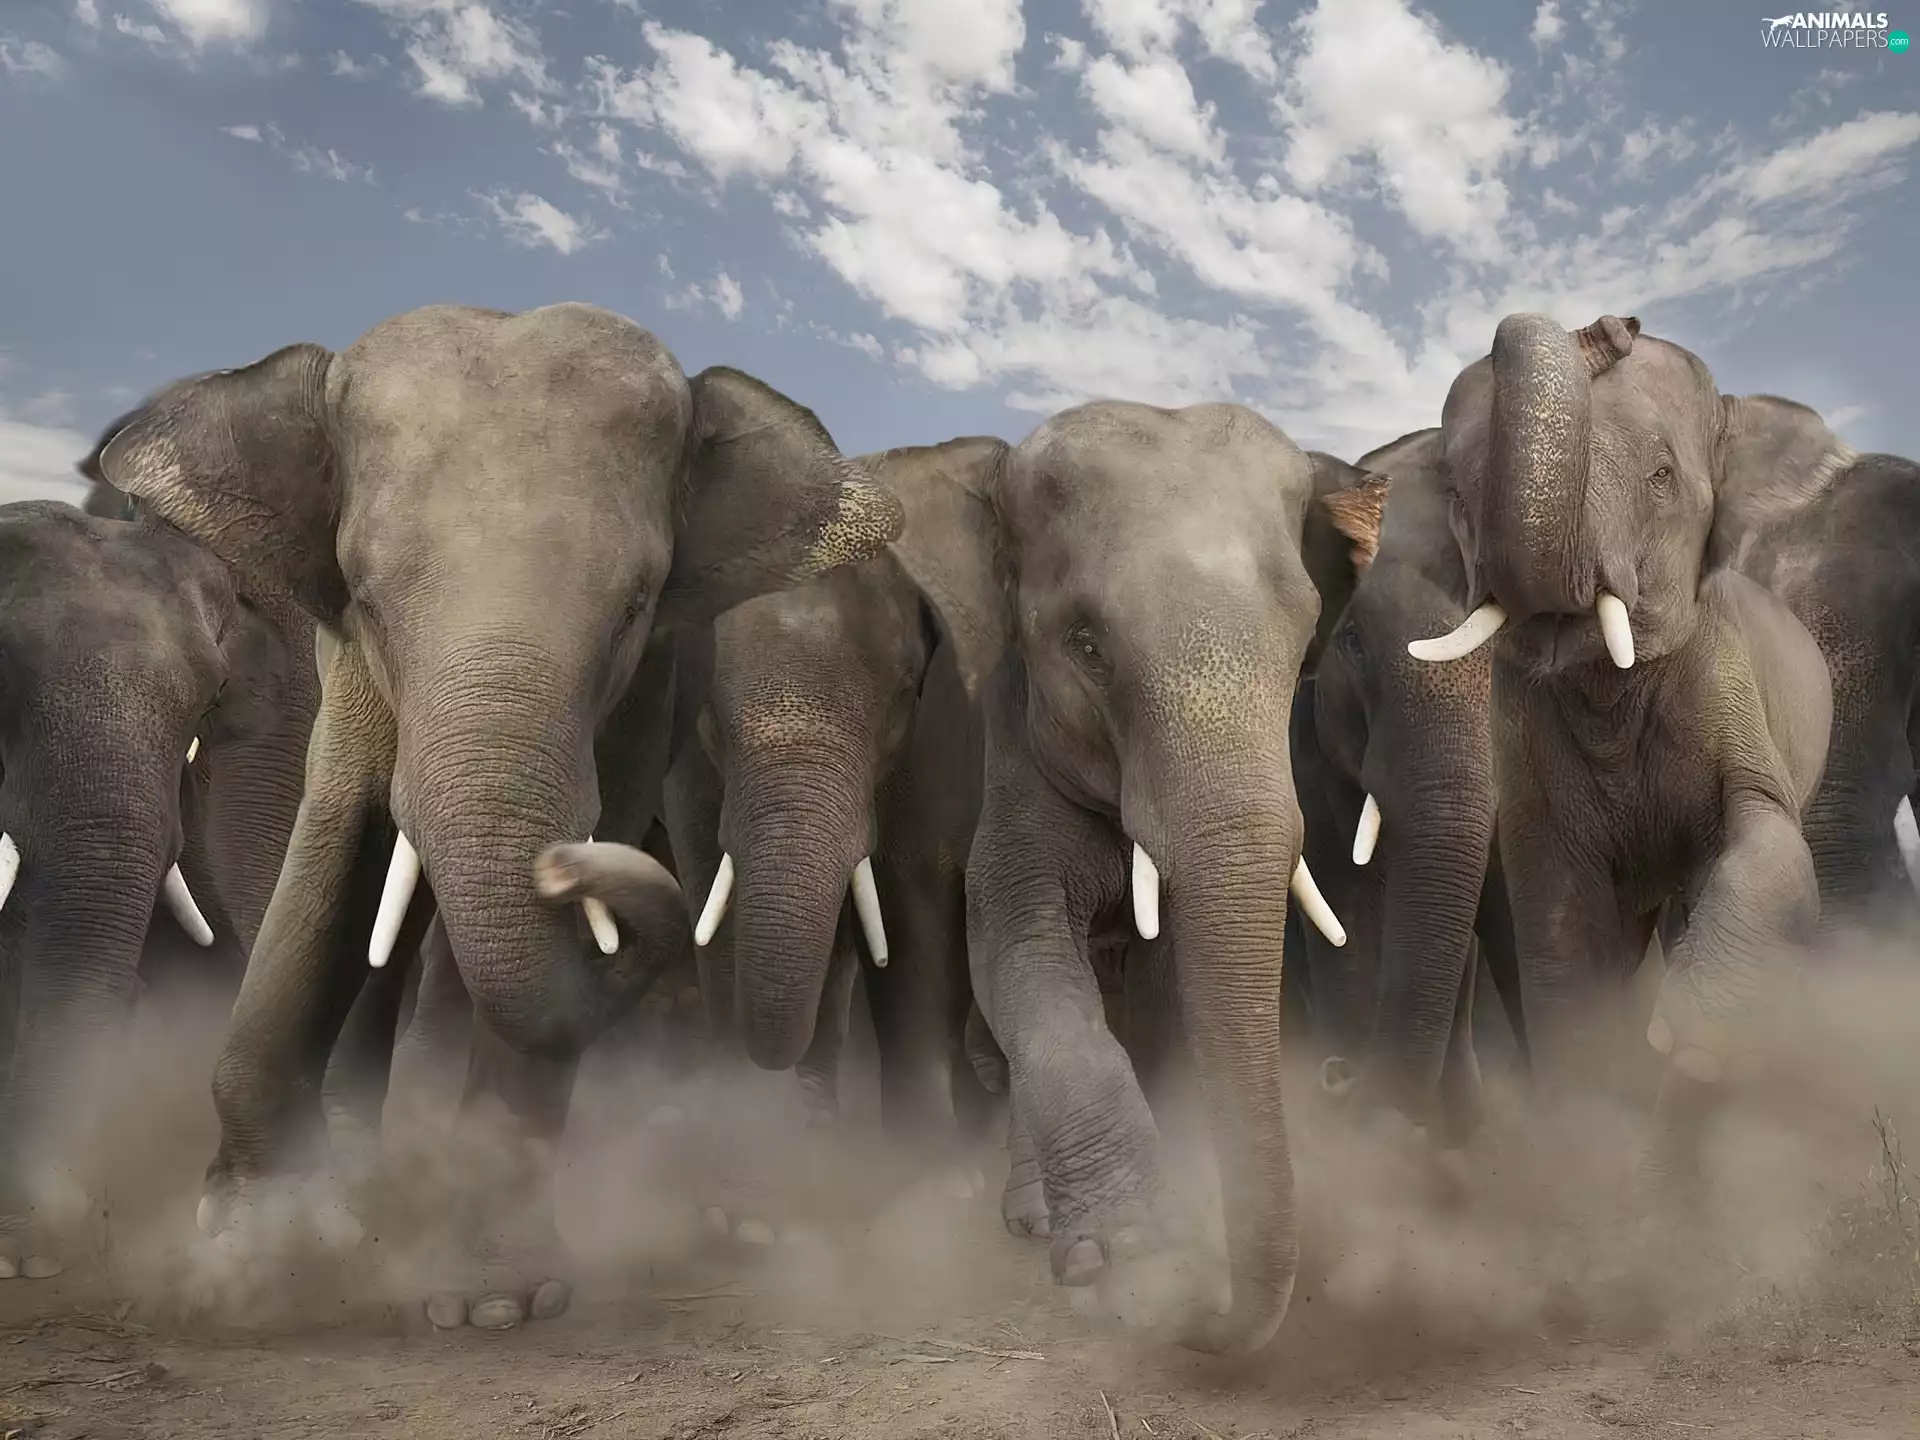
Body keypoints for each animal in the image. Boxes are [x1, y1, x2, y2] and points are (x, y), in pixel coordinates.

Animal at [86, 301, 905, 1331]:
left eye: (635, 606)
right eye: (365, 597)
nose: (560, 868)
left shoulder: (648, 691)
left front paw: (495, 1303)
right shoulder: (346, 666)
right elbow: (338, 833)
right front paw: (260, 1242)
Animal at [867, 402, 1355, 1357]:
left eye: (1302, 645)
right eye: (1086, 646)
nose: (1205, 1322)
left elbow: (1163, 986)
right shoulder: (1008, 750)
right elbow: (1016, 946)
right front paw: (1133, 1251)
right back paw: (1025, 1217)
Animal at [1405, 312, 1833, 1181]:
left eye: (1663, 477)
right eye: (1460, 498)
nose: (1609, 327)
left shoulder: (1726, 673)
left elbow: (1768, 839)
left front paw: (1687, 1041)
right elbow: (1559, 919)